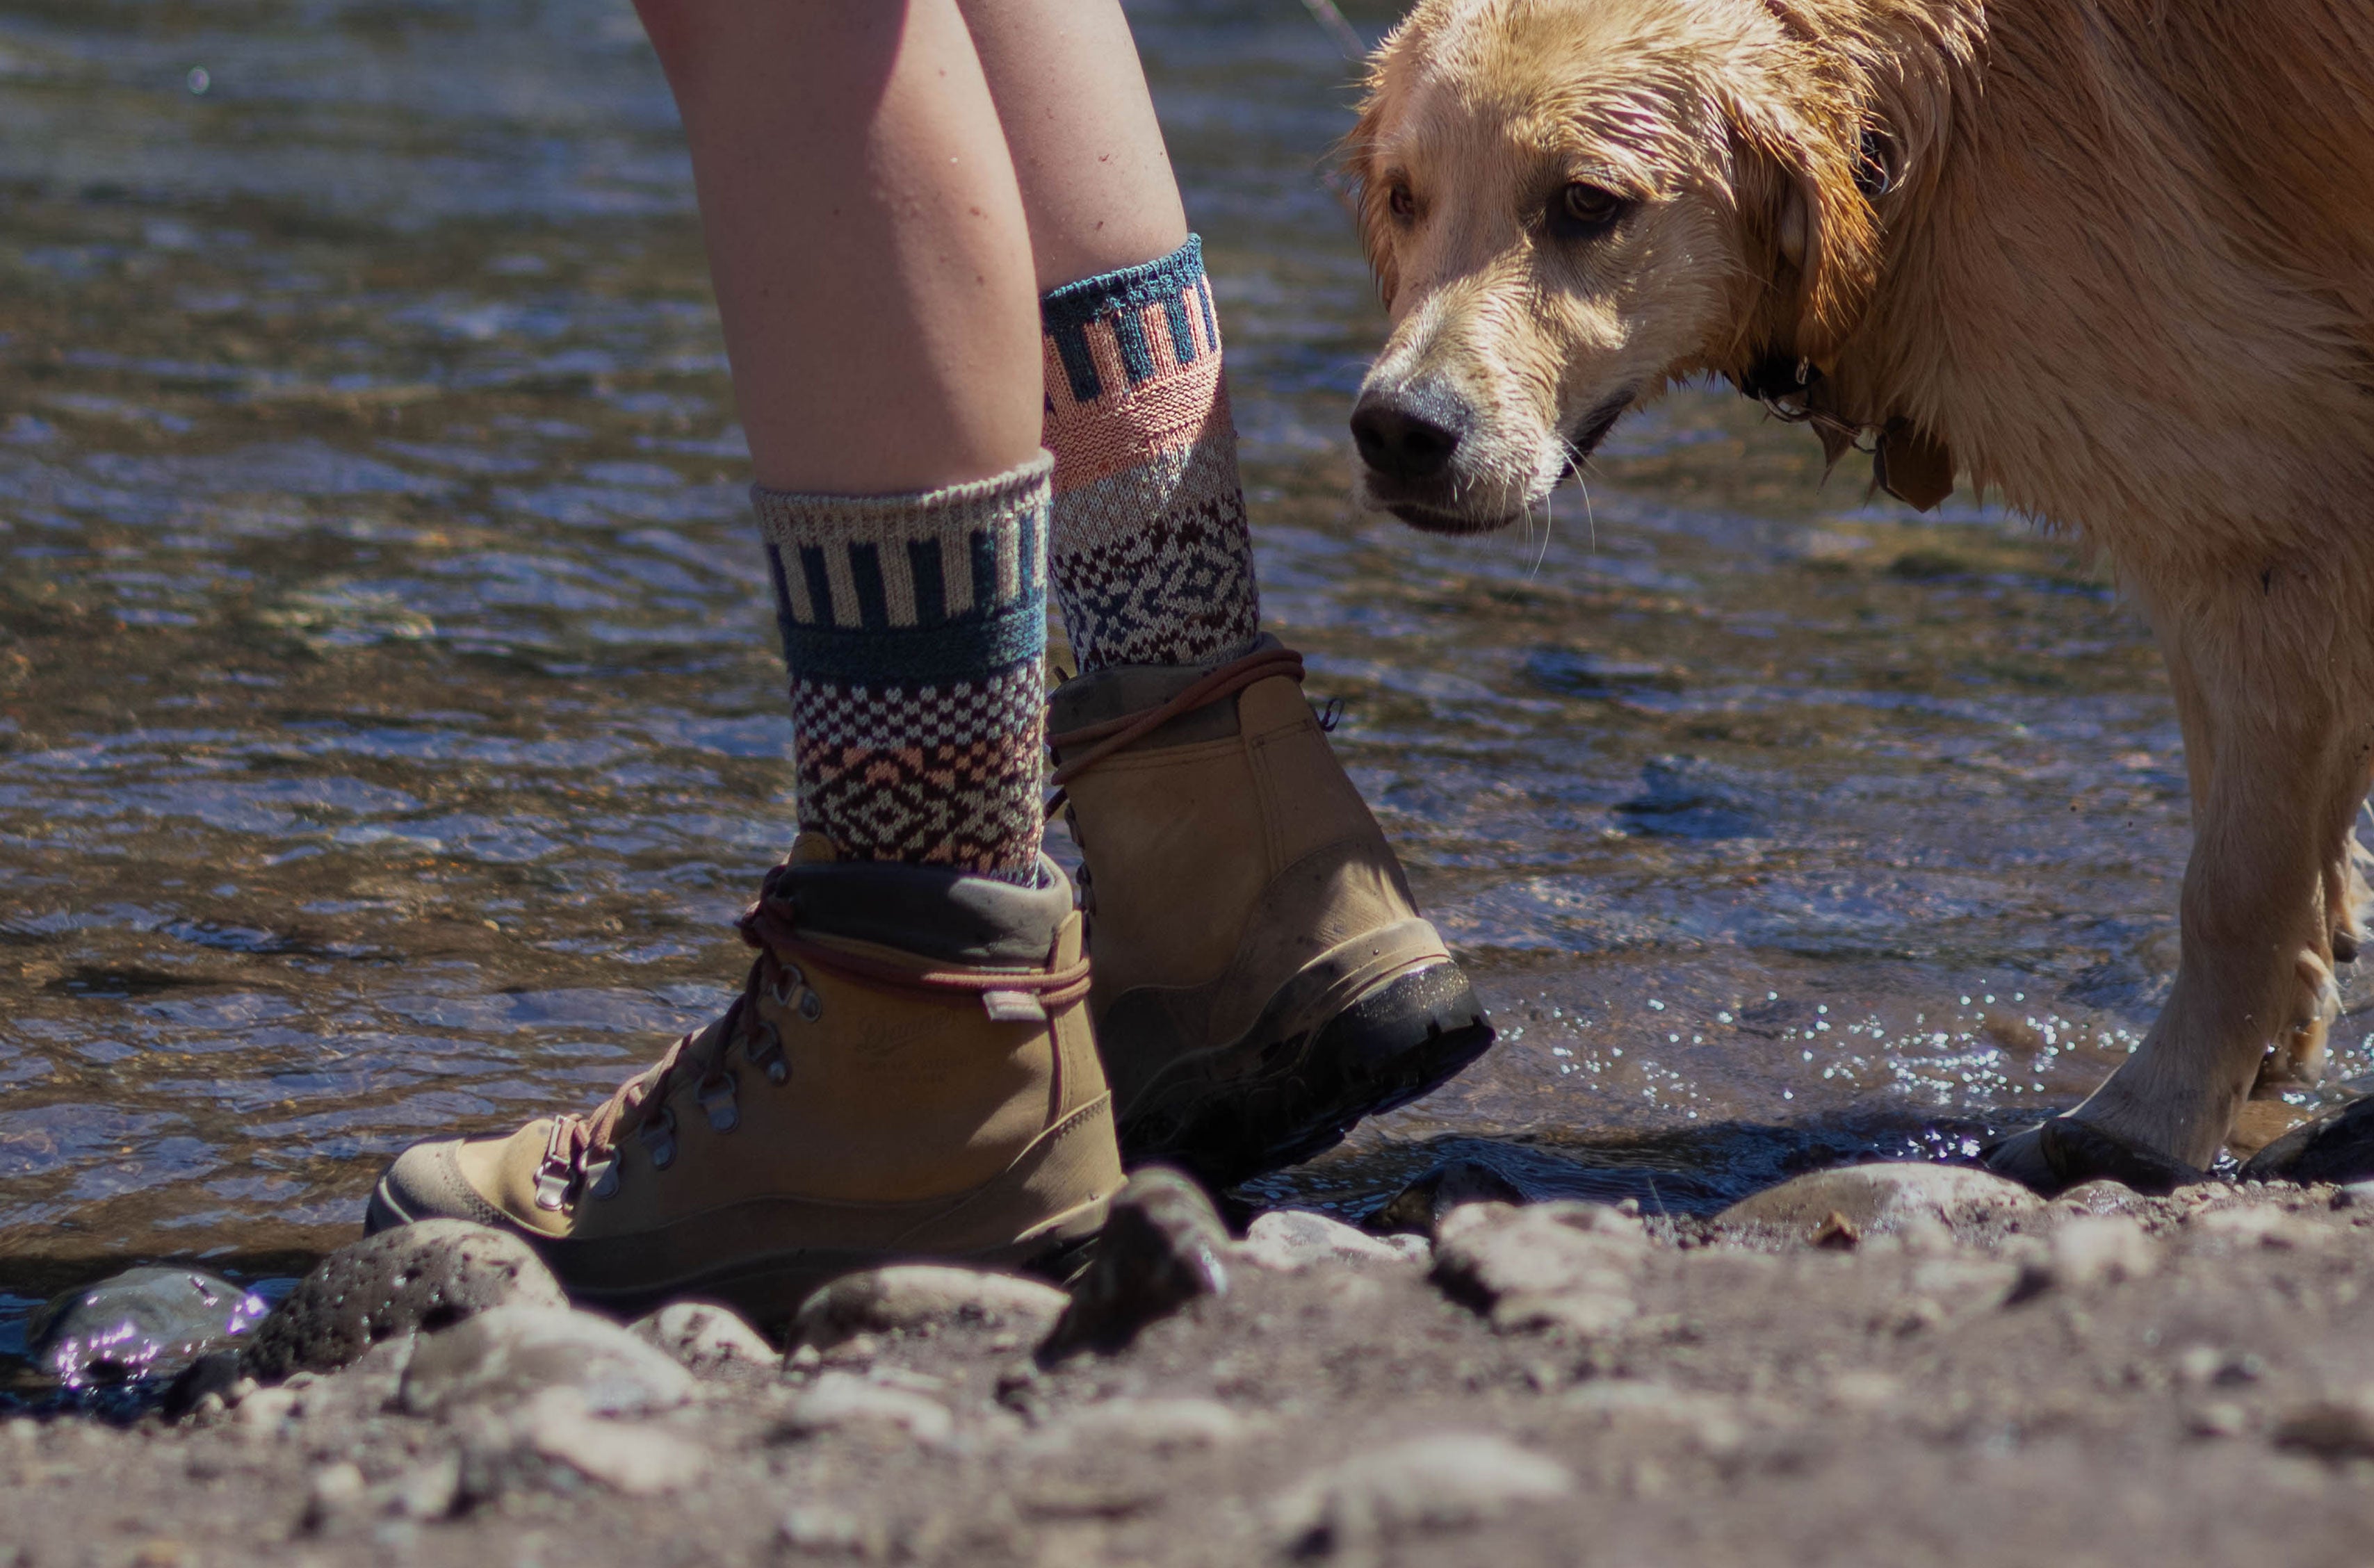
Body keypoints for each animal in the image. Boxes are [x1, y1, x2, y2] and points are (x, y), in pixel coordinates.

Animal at [1348, 0, 2374, 1186]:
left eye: (1584, 205)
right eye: (1403, 195)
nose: (1398, 431)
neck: (1928, 141)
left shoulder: (2264, 512)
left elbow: (2232, 888)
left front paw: (2137, 1126)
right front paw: (2277, 1039)